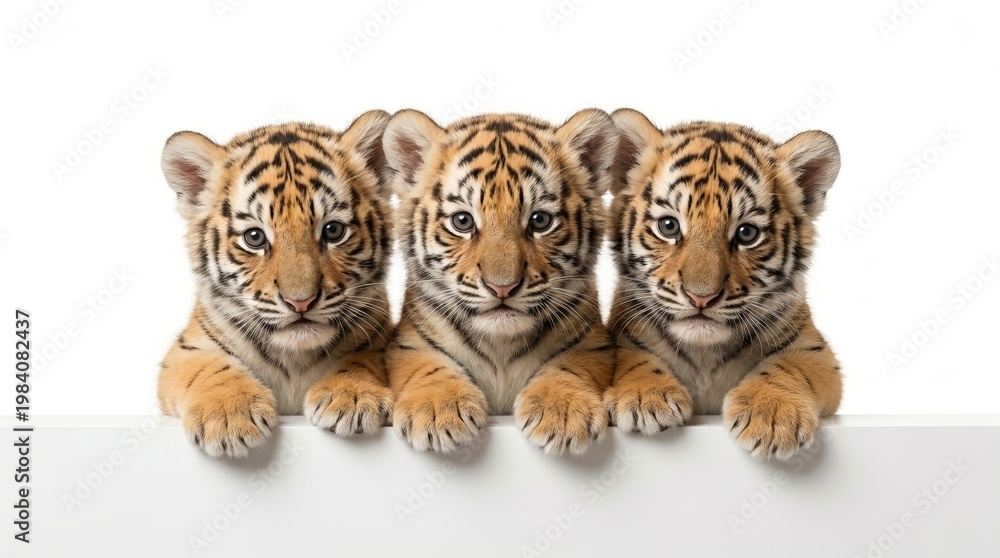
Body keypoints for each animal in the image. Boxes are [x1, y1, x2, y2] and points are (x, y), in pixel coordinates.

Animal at [157, 112, 394, 458]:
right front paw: (229, 416)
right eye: (254, 237)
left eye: (333, 231)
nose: (301, 302)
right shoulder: (186, 350)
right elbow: (207, 367)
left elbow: (364, 357)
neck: (294, 358)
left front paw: (352, 397)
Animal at [381, 109, 618, 456]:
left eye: (540, 221)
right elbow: (427, 365)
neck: (500, 347)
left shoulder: (594, 342)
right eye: (462, 221)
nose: (503, 287)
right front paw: (438, 411)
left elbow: (573, 365)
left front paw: (562, 413)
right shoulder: (408, 341)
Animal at [604, 109, 843, 460]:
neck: (705, 354)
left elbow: (787, 366)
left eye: (746, 233)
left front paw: (771, 417)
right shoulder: (621, 332)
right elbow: (630, 356)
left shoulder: (815, 351)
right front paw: (644, 396)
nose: (701, 297)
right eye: (668, 226)